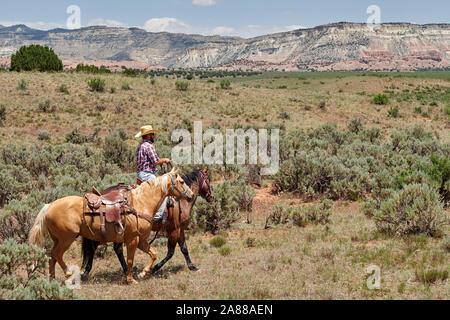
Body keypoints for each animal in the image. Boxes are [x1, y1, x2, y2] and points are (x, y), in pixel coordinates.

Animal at [28, 169, 193, 284]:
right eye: (181, 181)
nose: (191, 195)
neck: (141, 202)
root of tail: (49, 206)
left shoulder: (141, 240)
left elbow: (153, 254)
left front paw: (143, 273)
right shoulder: (132, 239)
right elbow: (131, 259)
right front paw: (130, 279)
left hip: (58, 239)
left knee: (52, 257)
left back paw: (53, 280)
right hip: (66, 239)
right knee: (57, 255)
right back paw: (69, 274)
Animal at [80, 166, 214, 278]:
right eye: (208, 179)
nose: (212, 196)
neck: (180, 202)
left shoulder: (180, 229)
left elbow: (184, 249)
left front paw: (192, 267)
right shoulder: (174, 230)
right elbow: (170, 252)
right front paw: (155, 268)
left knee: (112, 248)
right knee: (97, 247)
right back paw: (90, 270)